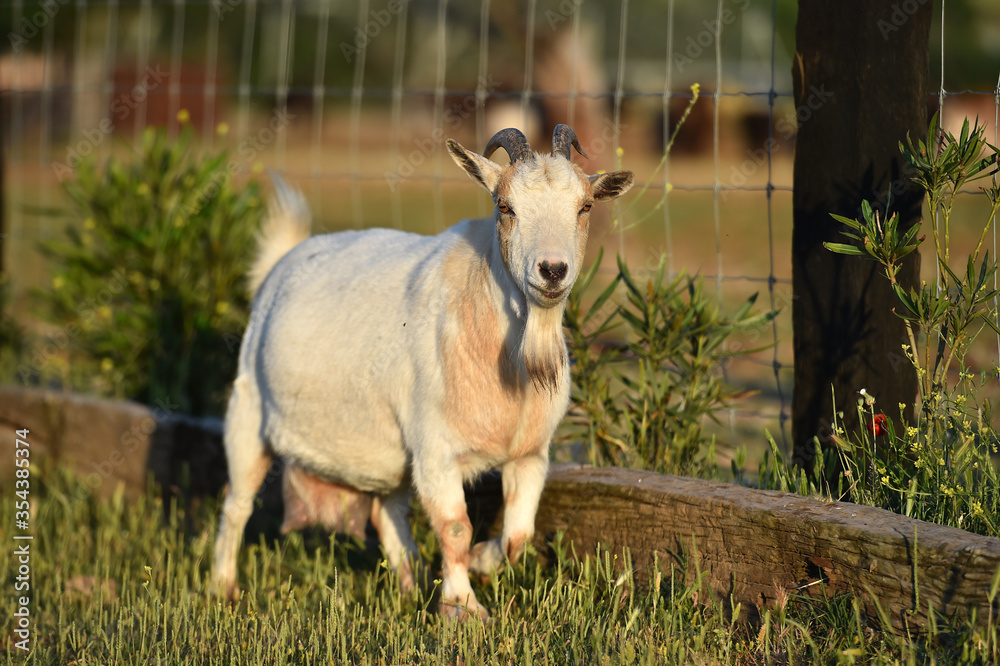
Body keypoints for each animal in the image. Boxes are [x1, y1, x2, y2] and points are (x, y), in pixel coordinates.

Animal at [211, 125, 634, 619]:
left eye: (585, 207)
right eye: (504, 207)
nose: (552, 270)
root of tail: (282, 262)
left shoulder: (530, 453)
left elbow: (518, 535)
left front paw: (480, 565)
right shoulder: (436, 449)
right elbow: (455, 527)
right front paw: (464, 608)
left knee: (387, 511)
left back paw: (410, 587)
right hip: (247, 412)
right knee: (237, 503)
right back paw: (223, 588)